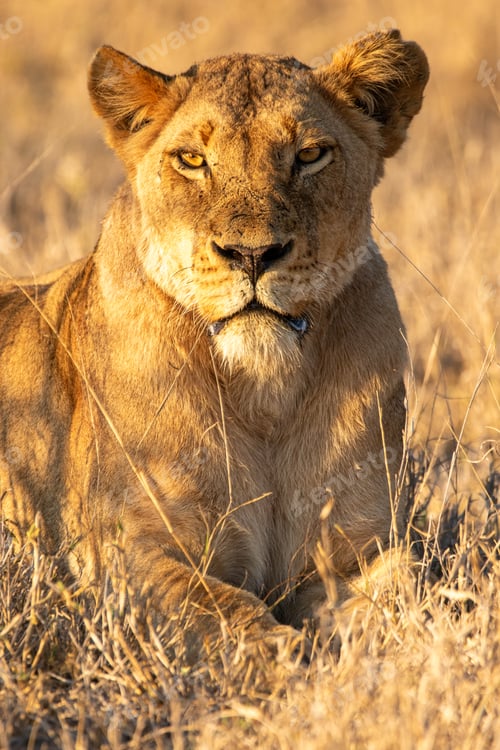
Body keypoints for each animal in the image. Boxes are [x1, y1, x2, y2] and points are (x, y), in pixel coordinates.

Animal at [0, 30, 428, 656]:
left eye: (309, 155)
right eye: (193, 160)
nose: (252, 254)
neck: (265, 390)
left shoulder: (362, 548)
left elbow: (412, 591)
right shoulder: (121, 555)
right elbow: (226, 613)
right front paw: (290, 664)